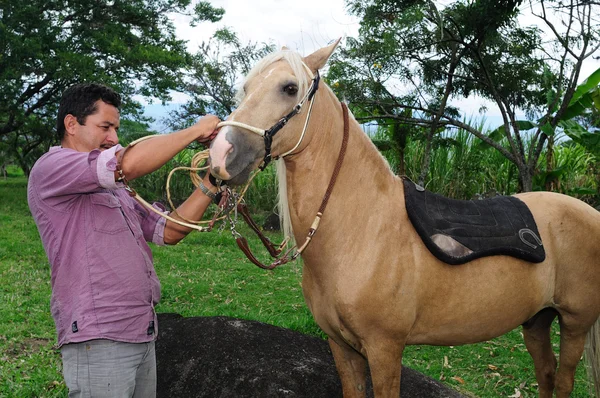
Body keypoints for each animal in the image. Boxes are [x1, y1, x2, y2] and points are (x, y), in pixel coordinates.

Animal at [209, 39, 596, 394]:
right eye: (246, 87)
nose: (220, 155)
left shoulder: (385, 349)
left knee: (563, 380)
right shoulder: (342, 348)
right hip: (537, 321)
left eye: (290, 88)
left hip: (575, 324)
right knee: (546, 374)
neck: (362, 229)